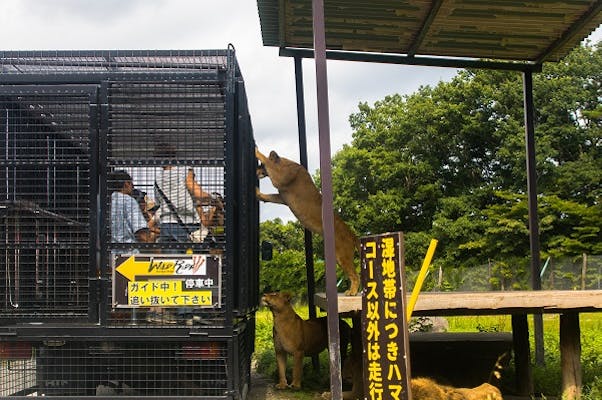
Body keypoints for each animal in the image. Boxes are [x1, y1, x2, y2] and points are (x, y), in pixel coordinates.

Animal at [254, 148, 358, 296]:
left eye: (261, 165)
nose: (256, 171)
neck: (284, 162)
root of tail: (352, 233)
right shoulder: (282, 197)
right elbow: (268, 197)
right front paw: (257, 193)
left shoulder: (281, 177)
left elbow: (268, 161)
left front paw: (256, 150)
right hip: (339, 257)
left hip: (343, 255)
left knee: (355, 275)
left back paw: (352, 292)